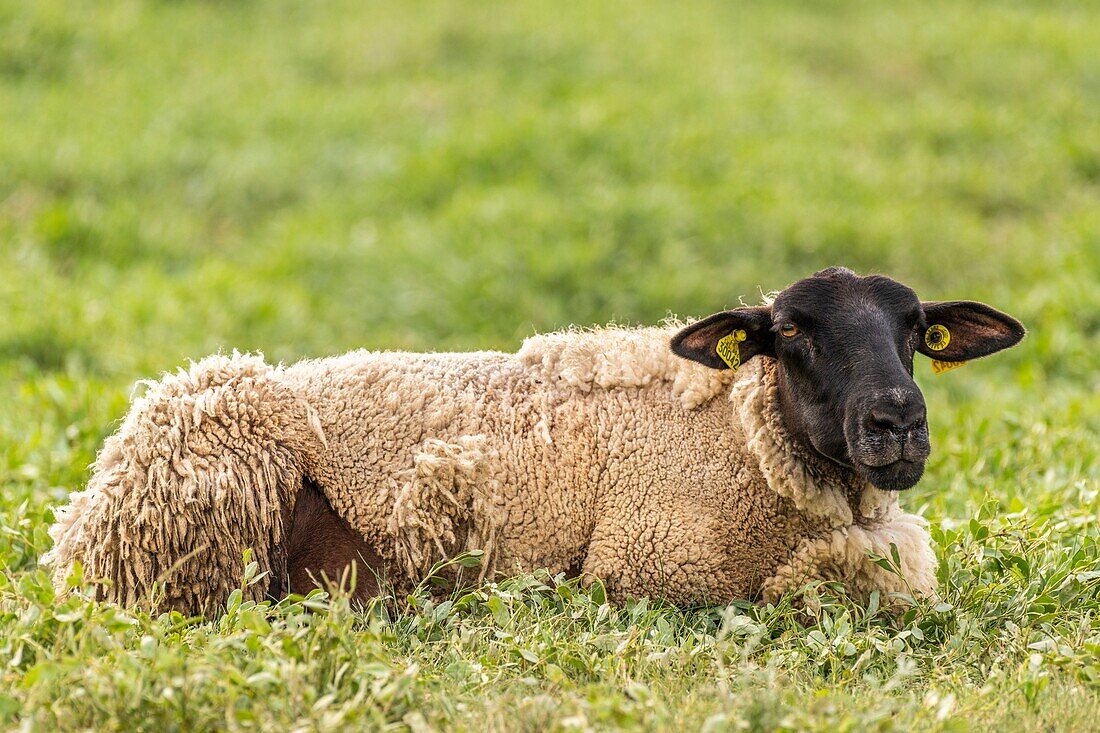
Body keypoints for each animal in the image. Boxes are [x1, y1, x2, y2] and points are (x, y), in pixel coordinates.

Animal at [42, 267, 1020, 611]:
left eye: (915, 329)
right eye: (791, 332)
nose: (897, 420)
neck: (745, 436)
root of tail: (80, 525)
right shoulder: (650, 564)